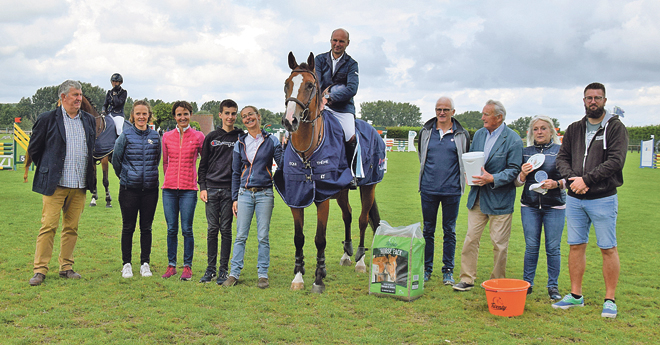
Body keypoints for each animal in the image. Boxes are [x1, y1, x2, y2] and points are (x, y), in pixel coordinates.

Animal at [274, 53, 386, 292]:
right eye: (286, 84)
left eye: (310, 85)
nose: (290, 121)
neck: (307, 149)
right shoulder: (296, 197)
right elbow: (299, 238)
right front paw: (298, 277)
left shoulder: (322, 198)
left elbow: (320, 239)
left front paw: (318, 278)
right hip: (341, 191)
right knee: (348, 215)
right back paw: (346, 255)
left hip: (368, 187)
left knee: (362, 219)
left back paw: (360, 261)